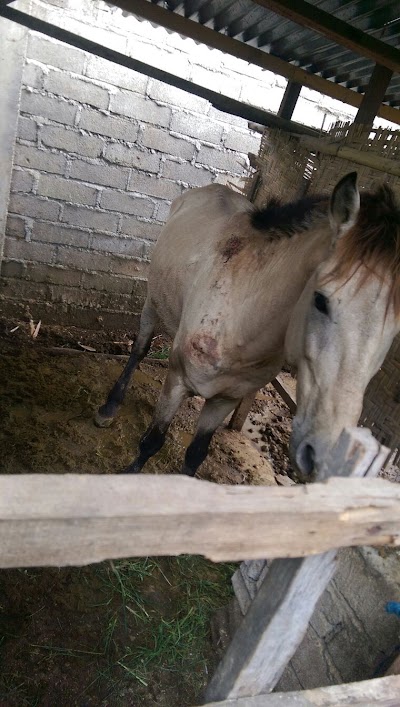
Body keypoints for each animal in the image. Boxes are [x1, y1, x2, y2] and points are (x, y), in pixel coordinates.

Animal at [95, 172, 400, 479]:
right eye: (320, 300)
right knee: (139, 349)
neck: (240, 321)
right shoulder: (177, 381)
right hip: (152, 300)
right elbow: (152, 441)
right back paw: (109, 407)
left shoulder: (226, 399)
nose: (328, 455)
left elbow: (195, 455)